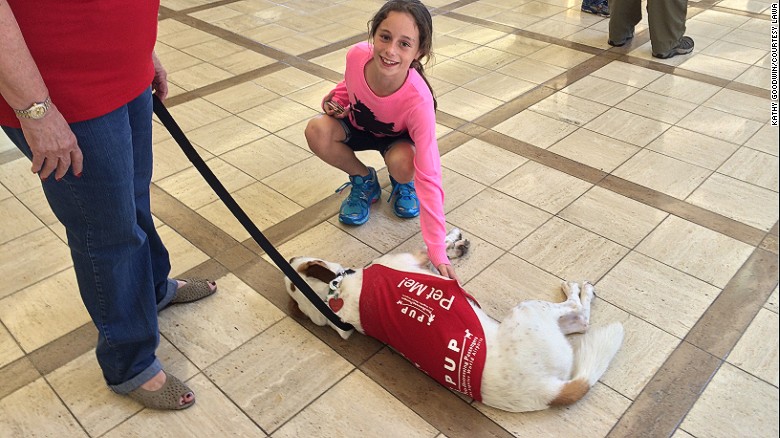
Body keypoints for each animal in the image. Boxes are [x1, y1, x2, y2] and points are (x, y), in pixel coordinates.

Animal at [284, 231, 624, 412]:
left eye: (295, 271)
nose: (287, 258)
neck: (338, 296)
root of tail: (549, 390)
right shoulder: (413, 258)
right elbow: (431, 245)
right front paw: (452, 239)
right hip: (529, 312)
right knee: (580, 315)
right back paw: (580, 291)